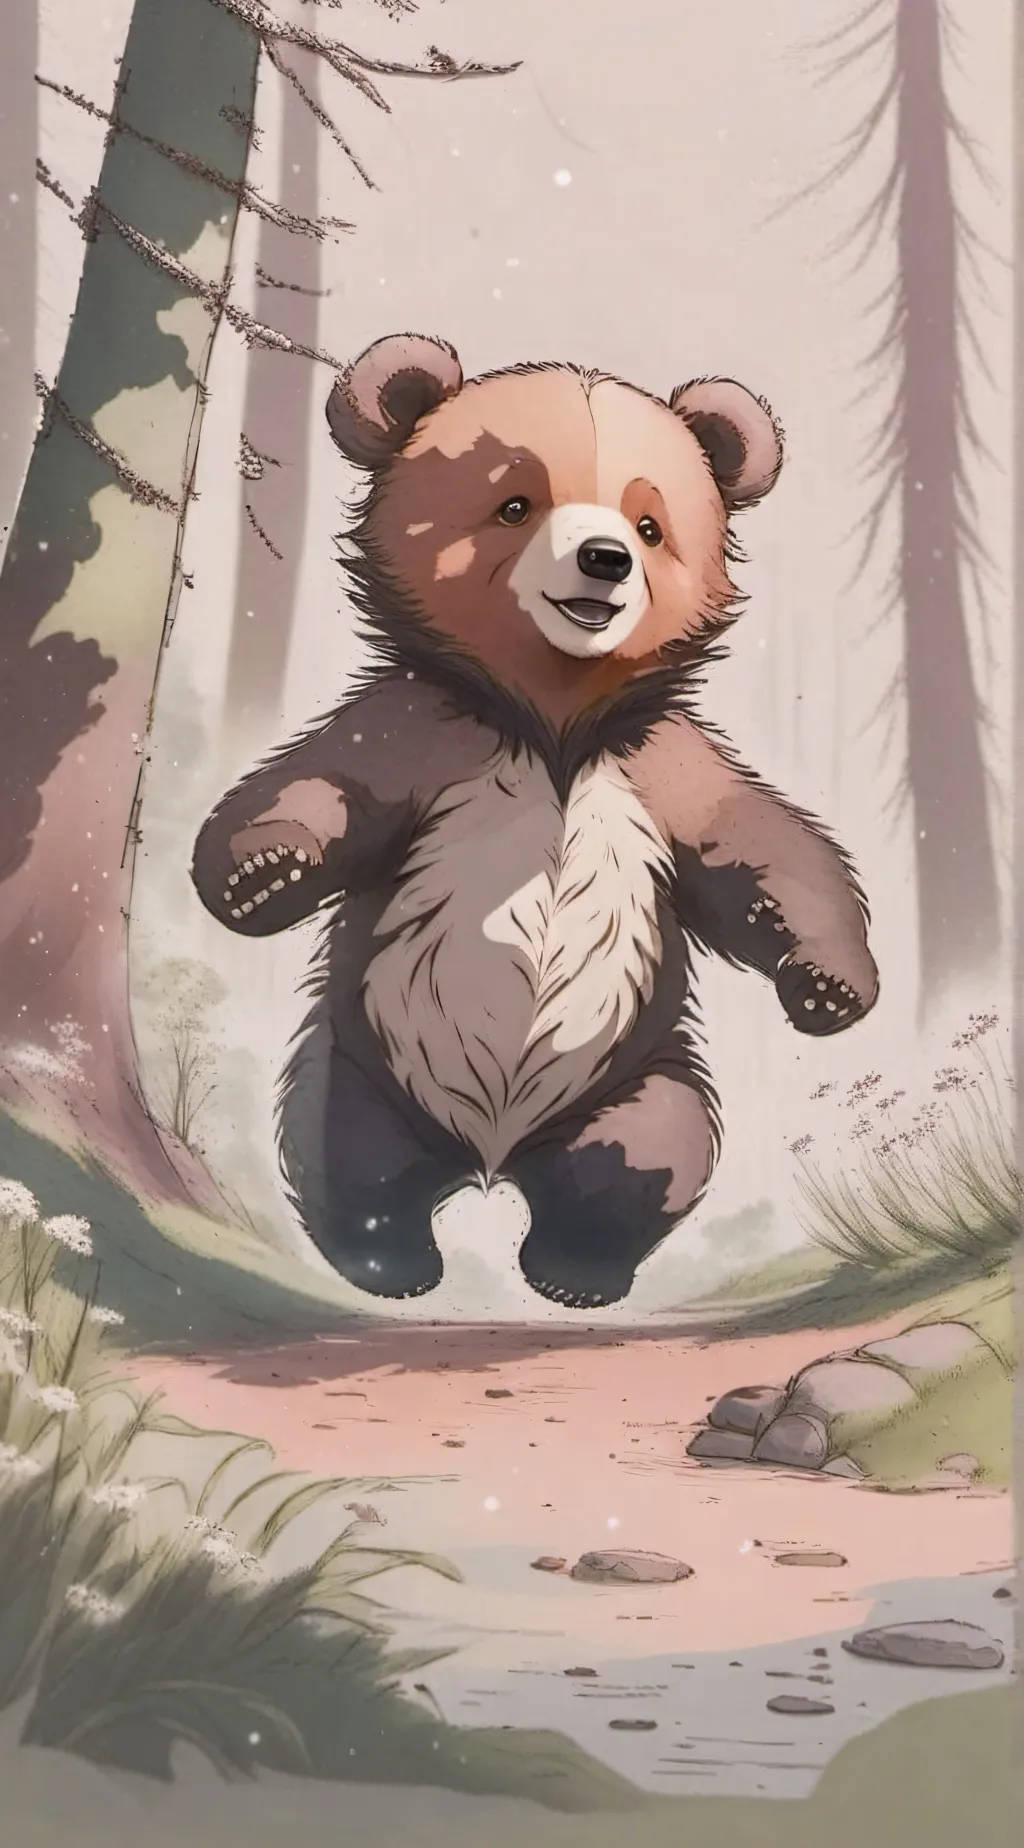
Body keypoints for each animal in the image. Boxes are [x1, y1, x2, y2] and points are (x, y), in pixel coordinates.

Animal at [191, 333, 878, 1310]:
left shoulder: (656, 766)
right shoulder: (429, 733)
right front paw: (263, 873)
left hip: (633, 1071)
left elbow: (765, 846)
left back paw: (574, 1268)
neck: (551, 727)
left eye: (650, 525)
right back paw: (389, 1261)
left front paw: (827, 986)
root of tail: (492, 1163)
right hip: (367, 1059)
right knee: (349, 1155)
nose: (604, 560)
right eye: (515, 503)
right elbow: (315, 783)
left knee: (644, 1157)